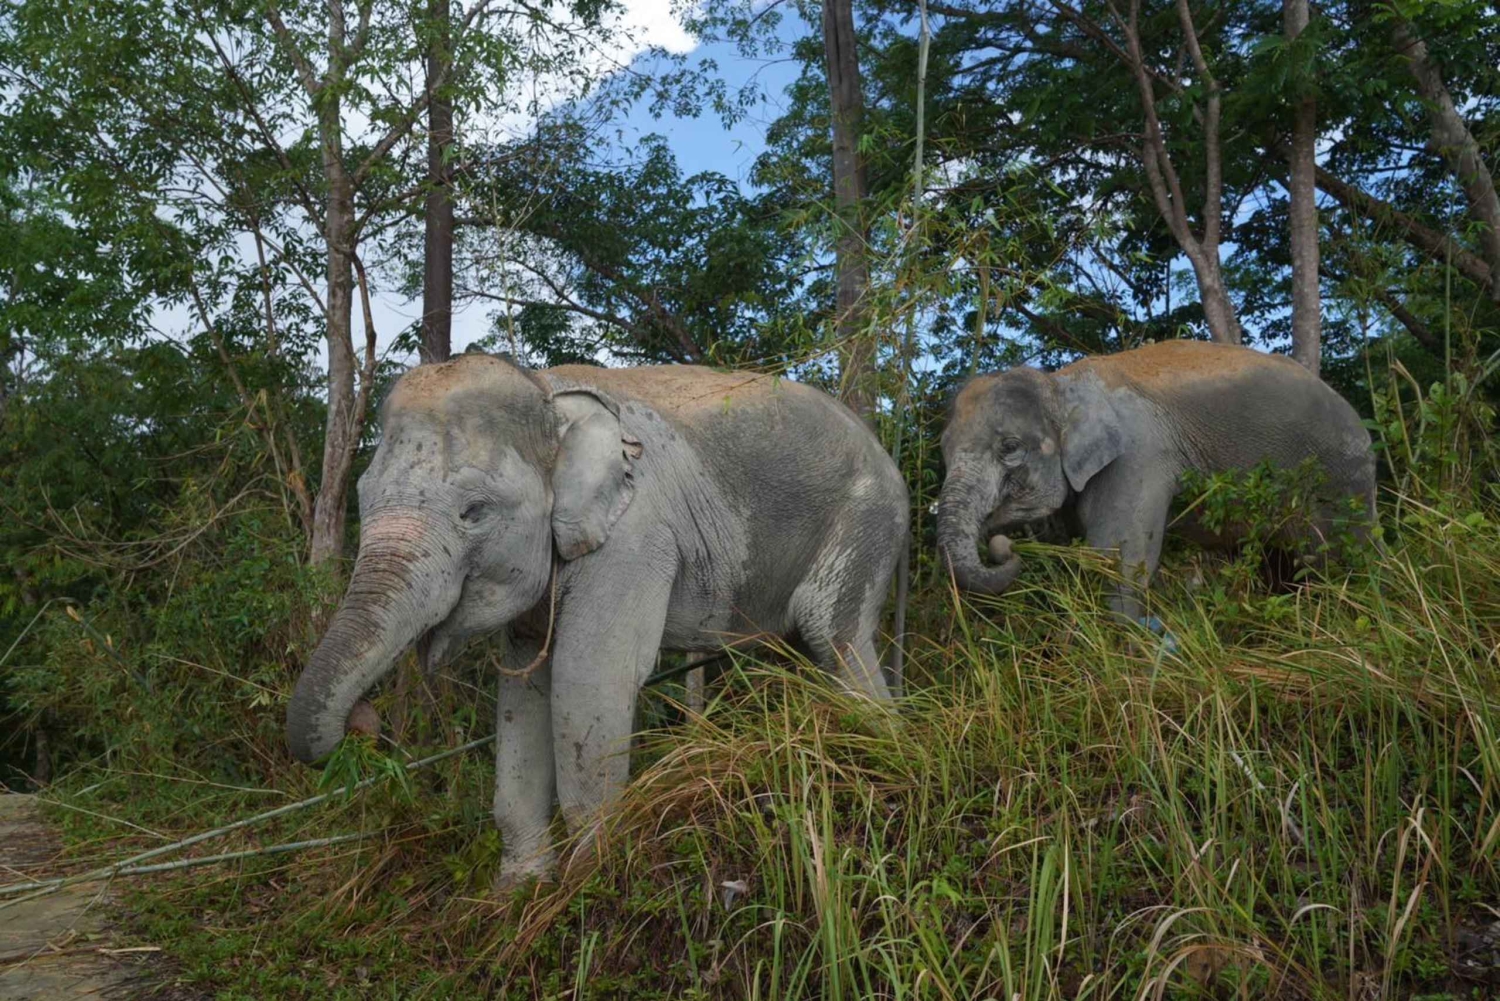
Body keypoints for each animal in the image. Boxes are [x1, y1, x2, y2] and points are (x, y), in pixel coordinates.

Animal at [285, 354, 909, 886]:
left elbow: (587, 680)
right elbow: (523, 696)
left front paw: (590, 885)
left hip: (868, 519)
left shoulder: (636, 535)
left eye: (474, 512)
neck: (547, 396)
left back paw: (884, 752)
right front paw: (519, 892)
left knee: (832, 631)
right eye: (362, 497)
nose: (364, 721)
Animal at [936, 340, 1376, 620]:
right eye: (943, 447)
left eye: (1009, 447)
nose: (1003, 547)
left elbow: (1113, 558)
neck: (1061, 384)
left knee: (1335, 558)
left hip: (1340, 475)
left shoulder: (1138, 455)